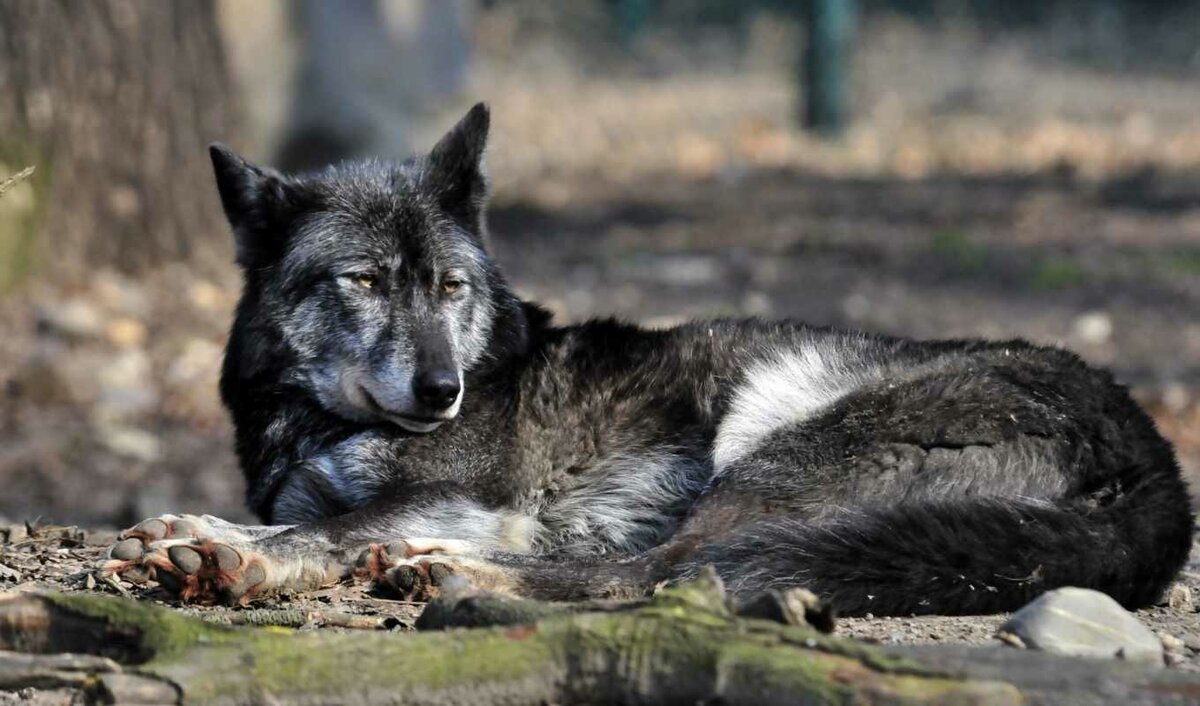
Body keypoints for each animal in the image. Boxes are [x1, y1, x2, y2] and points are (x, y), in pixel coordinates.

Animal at [104, 104, 1193, 616]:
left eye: (449, 287)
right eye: (364, 281)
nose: (443, 391)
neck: (315, 419)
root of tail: (1155, 463)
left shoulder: (466, 492)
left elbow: (326, 528)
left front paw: (236, 556)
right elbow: (285, 513)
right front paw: (195, 527)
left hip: (774, 433)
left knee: (670, 573)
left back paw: (452, 573)